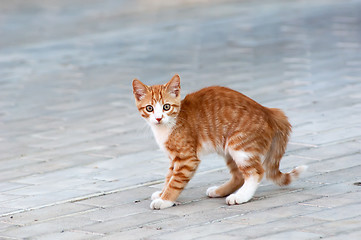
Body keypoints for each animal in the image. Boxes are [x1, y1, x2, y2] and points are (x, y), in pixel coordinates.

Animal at [132, 74, 306, 209]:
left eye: (166, 107)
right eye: (149, 108)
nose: (158, 118)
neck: (168, 125)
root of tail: (269, 111)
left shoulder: (187, 159)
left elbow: (175, 181)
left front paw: (165, 200)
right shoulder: (173, 159)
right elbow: (169, 177)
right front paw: (161, 193)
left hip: (239, 144)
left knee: (256, 172)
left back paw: (241, 197)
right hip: (228, 149)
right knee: (239, 176)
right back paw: (219, 191)